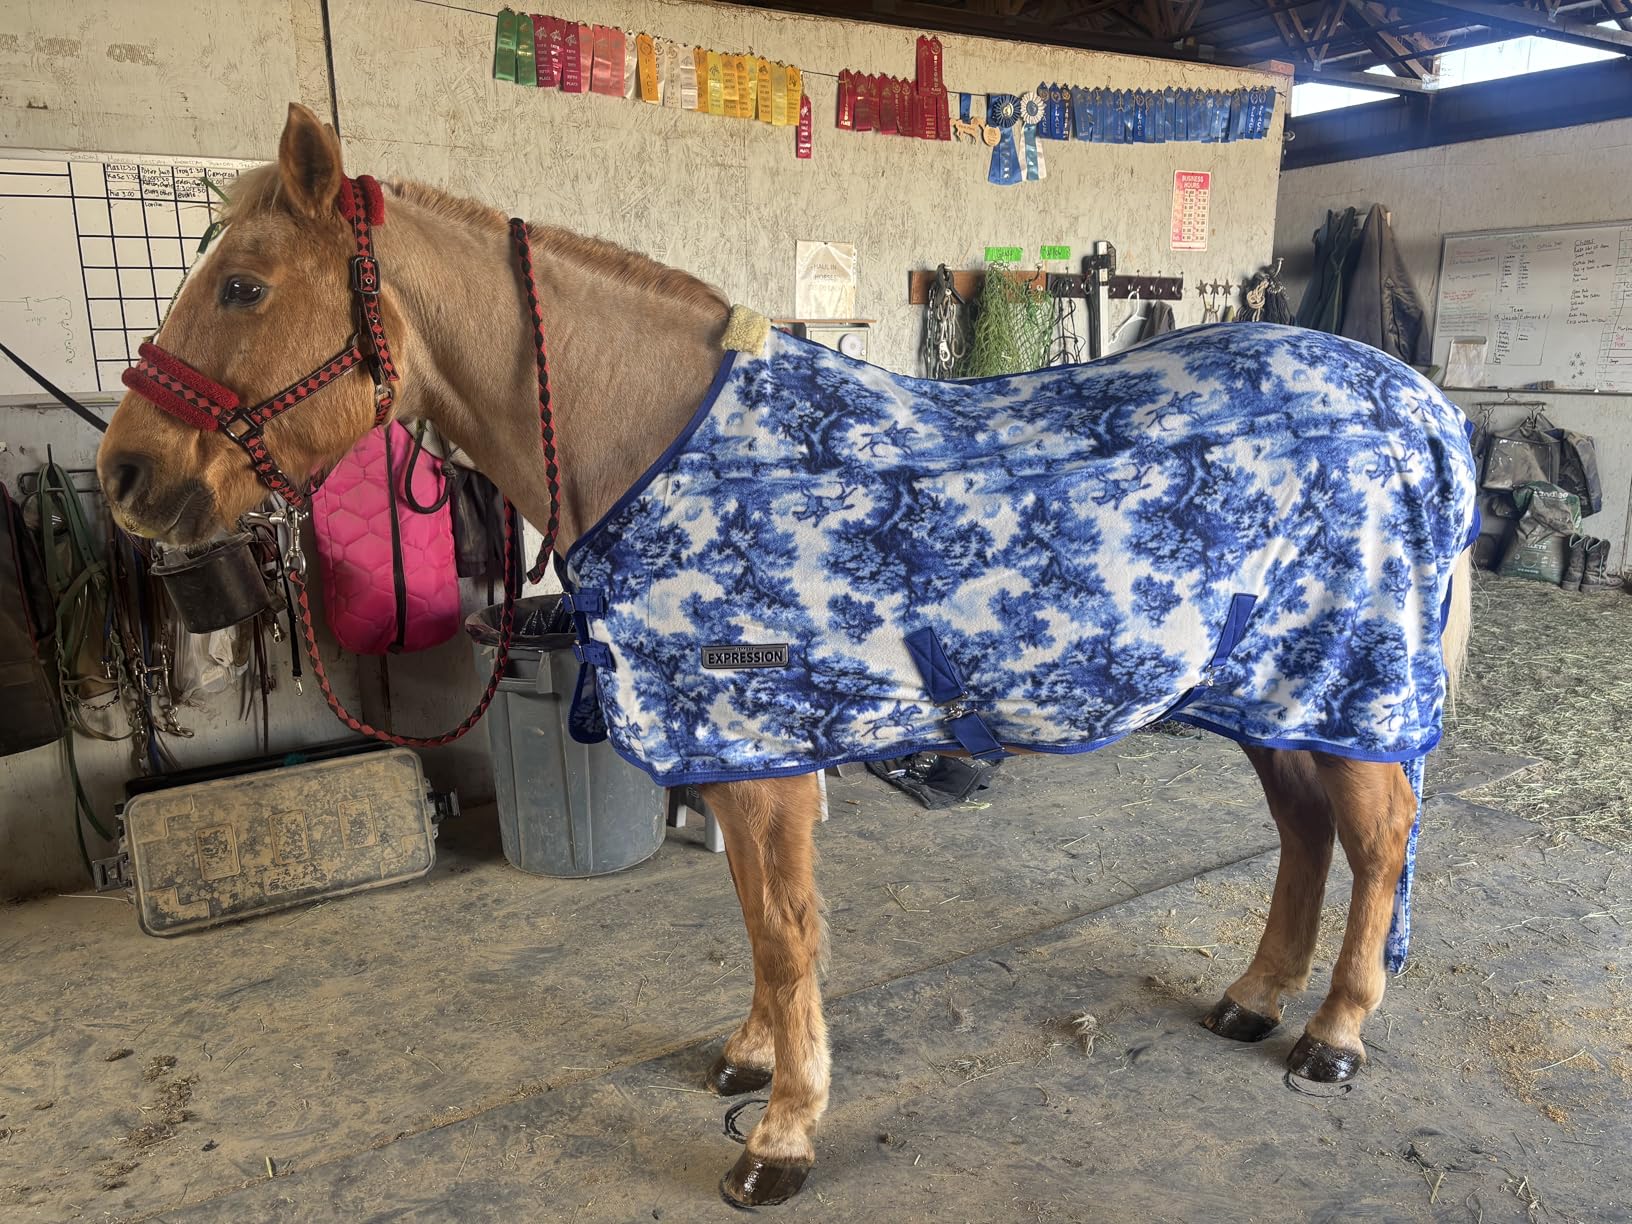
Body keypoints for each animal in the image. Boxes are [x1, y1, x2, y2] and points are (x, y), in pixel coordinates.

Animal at [98, 103, 1476, 1208]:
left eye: (244, 288)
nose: (126, 477)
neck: (671, 446)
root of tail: (1417, 405)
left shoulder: (760, 756)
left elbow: (783, 931)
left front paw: (782, 1133)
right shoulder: (735, 756)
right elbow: (762, 932)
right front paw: (754, 1063)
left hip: (1346, 692)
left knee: (1376, 845)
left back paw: (1335, 1035)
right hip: (1273, 700)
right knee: (1307, 838)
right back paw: (1253, 999)